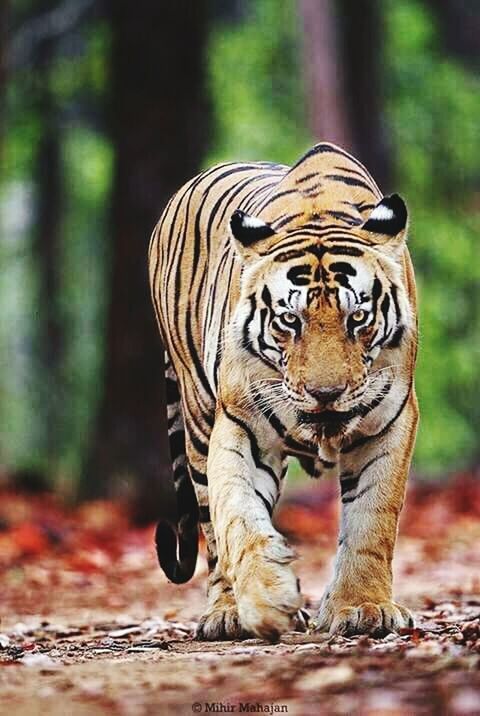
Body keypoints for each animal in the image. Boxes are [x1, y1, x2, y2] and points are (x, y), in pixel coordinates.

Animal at [148, 143, 418, 640]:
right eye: (290, 321)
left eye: (357, 318)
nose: (325, 393)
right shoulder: (241, 424)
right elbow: (238, 513)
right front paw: (266, 598)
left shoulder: (390, 420)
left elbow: (372, 519)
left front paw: (364, 607)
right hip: (197, 423)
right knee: (211, 528)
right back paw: (227, 613)